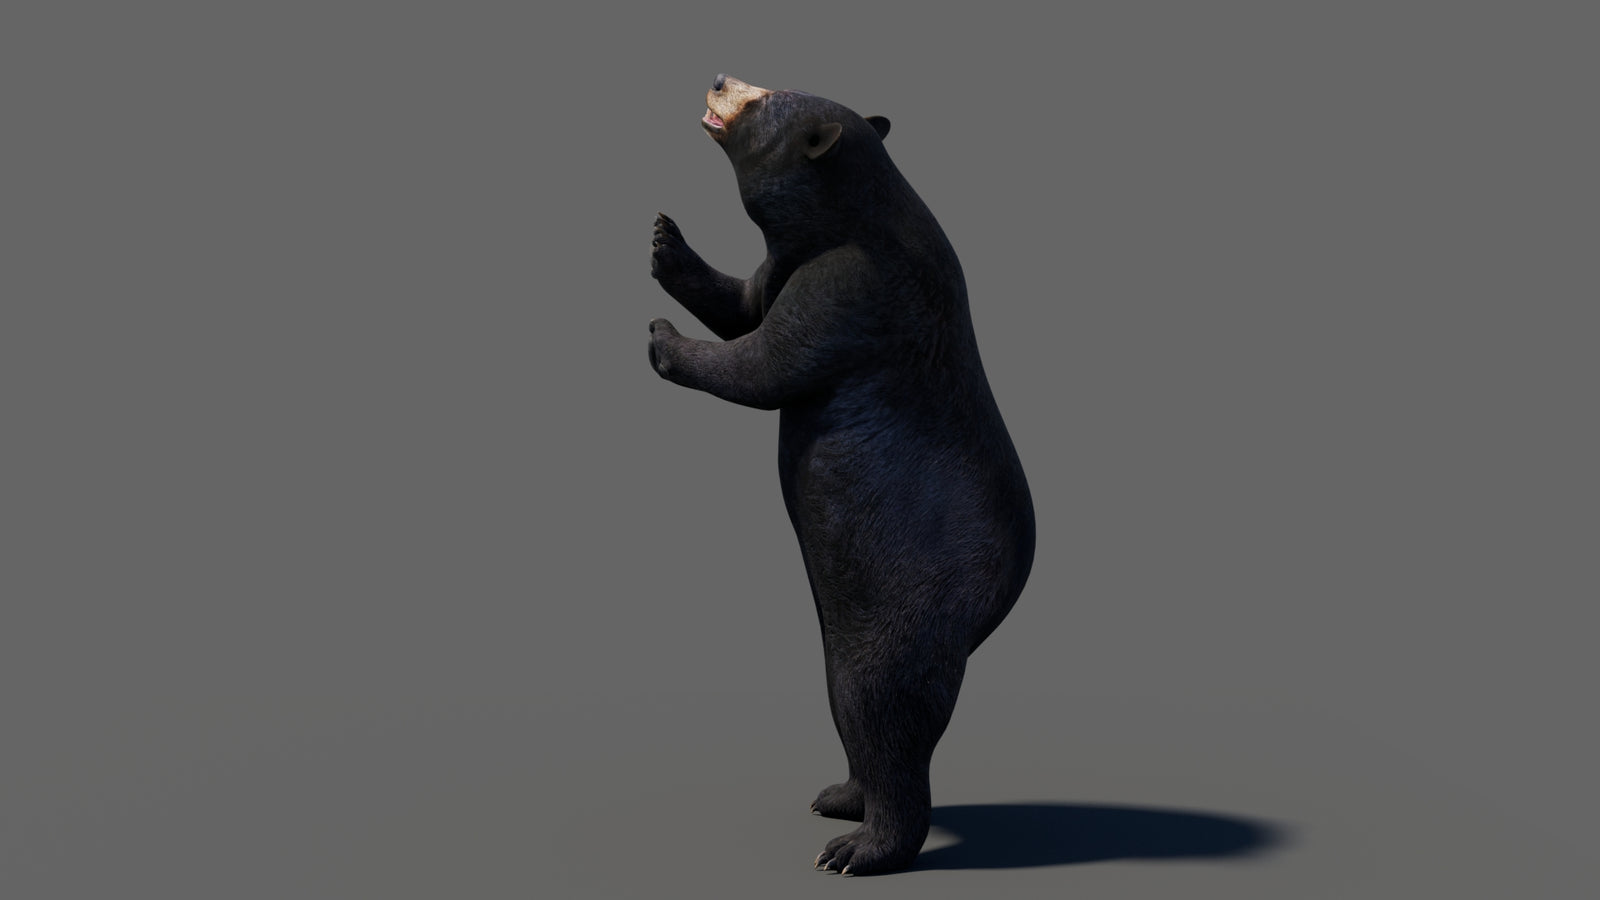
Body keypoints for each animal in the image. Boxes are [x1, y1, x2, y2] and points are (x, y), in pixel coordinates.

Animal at [647, 74, 1035, 875]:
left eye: (764, 99)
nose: (720, 78)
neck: (848, 214)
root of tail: (989, 610)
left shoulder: (850, 282)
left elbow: (767, 362)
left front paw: (664, 340)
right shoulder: (790, 261)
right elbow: (746, 302)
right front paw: (666, 242)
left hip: (905, 606)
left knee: (883, 706)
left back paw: (859, 848)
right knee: (851, 705)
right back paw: (839, 795)